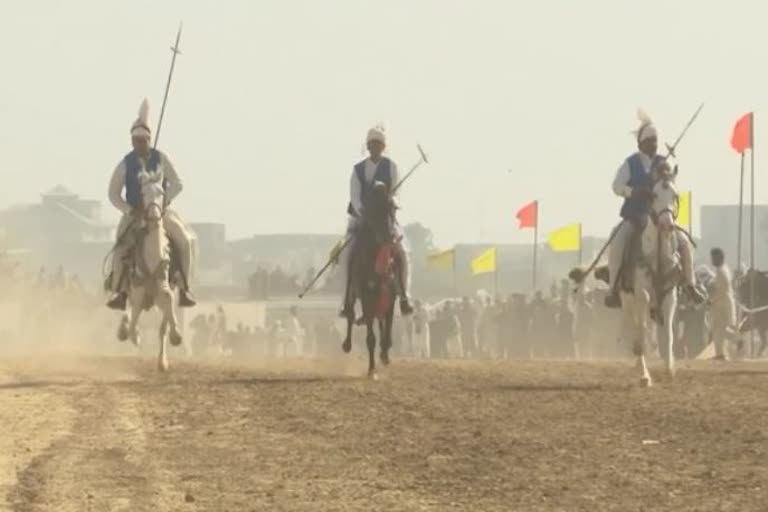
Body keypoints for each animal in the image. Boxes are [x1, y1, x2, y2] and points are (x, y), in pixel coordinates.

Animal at [116, 168, 182, 372]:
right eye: (143, 193)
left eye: (161, 192)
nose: (153, 216)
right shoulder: (137, 290)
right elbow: (134, 315)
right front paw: (134, 335)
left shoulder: (165, 288)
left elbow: (166, 314)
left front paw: (175, 338)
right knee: (128, 309)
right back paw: (124, 330)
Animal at [344, 182, 402, 378]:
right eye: (374, 209)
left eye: (393, 207)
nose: (389, 236)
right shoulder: (366, 295)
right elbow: (371, 336)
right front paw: (371, 370)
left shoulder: (390, 295)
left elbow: (387, 327)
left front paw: (385, 355)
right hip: (354, 293)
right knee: (350, 313)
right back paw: (347, 344)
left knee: (381, 321)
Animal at [620, 163, 688, 384]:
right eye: (654, 194)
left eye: (675, 195)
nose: (667, 225)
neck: (657, 256)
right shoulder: (642, 294)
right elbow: (642, 331)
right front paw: (645, 376)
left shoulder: (669, 295)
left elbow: (668, 335)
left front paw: (669, 368)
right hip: (628, 301)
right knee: (636, 329)